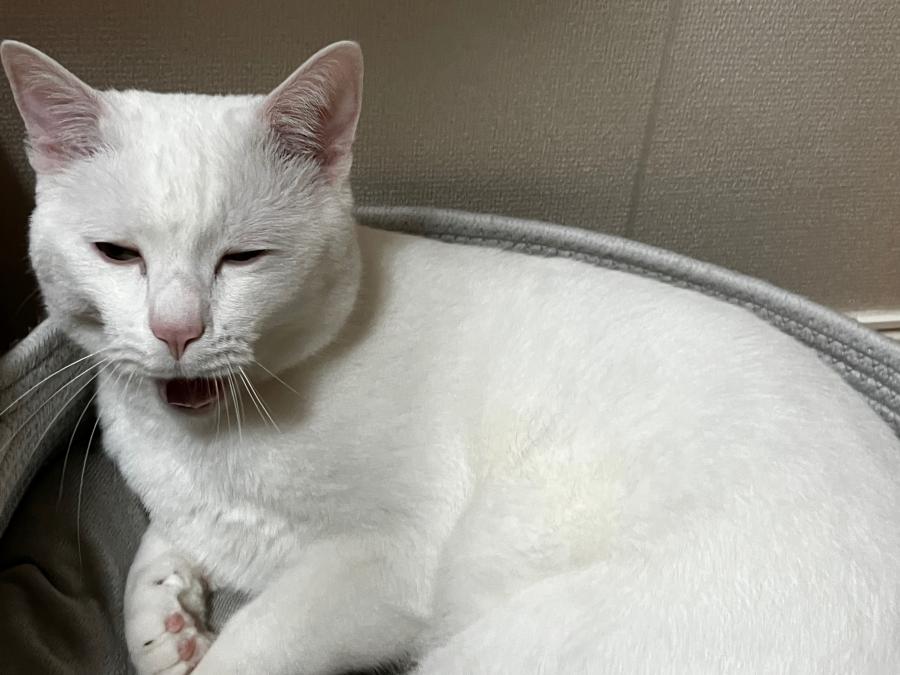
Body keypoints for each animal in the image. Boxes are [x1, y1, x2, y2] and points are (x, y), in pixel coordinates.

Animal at [4, 38, 900, 675]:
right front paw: (164, 620)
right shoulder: (192, 504)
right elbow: (157, 541)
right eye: (117, 253)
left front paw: (205, 636)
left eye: (244, 258)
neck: (211, 440)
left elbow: (255, 641)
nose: (177, 329)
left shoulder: (386, 567)